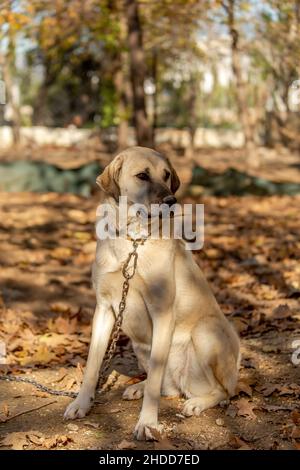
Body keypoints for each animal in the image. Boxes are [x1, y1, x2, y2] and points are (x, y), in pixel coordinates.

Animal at [64, 146, 240, 440]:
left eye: (166, 175)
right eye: (142, 176)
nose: (171, 201)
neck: (133, 241)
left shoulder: (162, 312)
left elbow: (156, 380)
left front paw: (147, 422)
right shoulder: (104, 309)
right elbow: (92, 365)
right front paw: (82, 403)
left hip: (205, 333)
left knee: (223, 391)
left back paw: (197, 402)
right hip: (140, 346)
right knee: (169, 388)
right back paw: (139, 386)